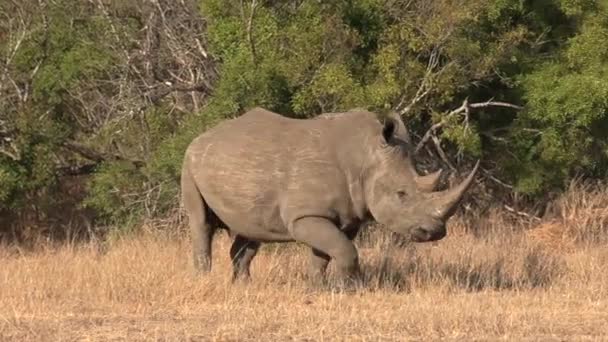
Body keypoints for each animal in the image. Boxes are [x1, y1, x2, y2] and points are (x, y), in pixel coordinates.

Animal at [180, 107, 480, 284]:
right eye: (402, 194)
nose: (435, 232)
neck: (365, 156)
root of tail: (201, 136)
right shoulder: (305, 216)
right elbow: (345, 250)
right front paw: (352, 289)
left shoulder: (346, 217)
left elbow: (326, 253)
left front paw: (317, 288)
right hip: (190, 162)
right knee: (201, 223)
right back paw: (203, 281)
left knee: (251, 231)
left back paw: (244, 286)